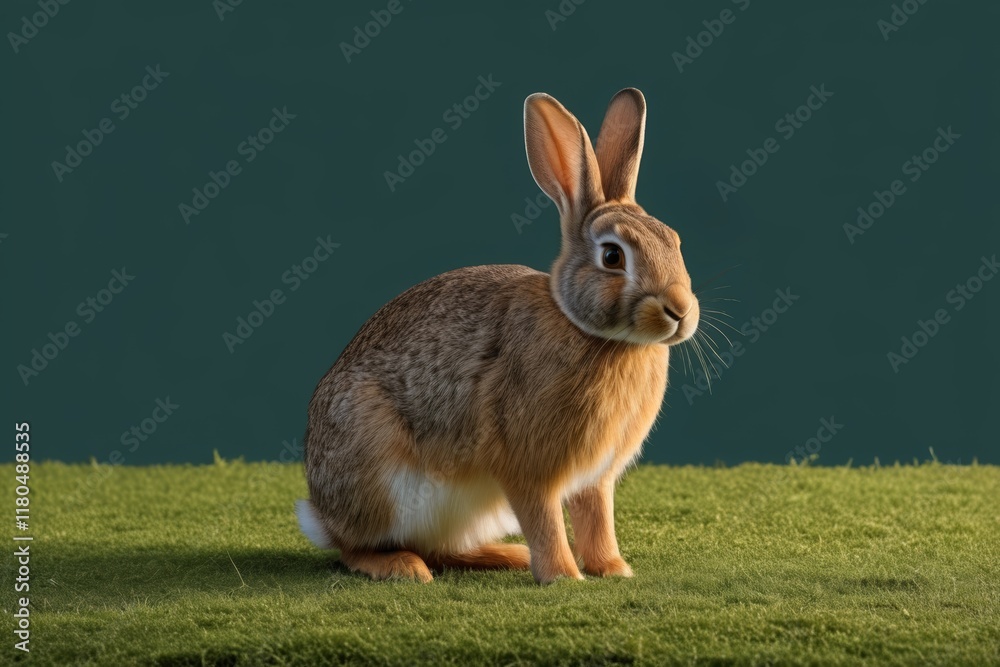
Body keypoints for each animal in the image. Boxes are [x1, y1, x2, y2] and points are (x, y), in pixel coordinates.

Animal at [296, 87, 699, 584]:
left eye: (674, 241)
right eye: (612, 256)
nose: (680, 310)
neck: (592, 332)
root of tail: (321, 513)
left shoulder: (595, 479)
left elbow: (597, 518)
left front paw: (612, 570)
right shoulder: (529, 469)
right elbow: (545, 520)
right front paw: (564, 577)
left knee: (440, 548)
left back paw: (504, 556)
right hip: (377, 473)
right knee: (358, 548)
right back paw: (404, 567)